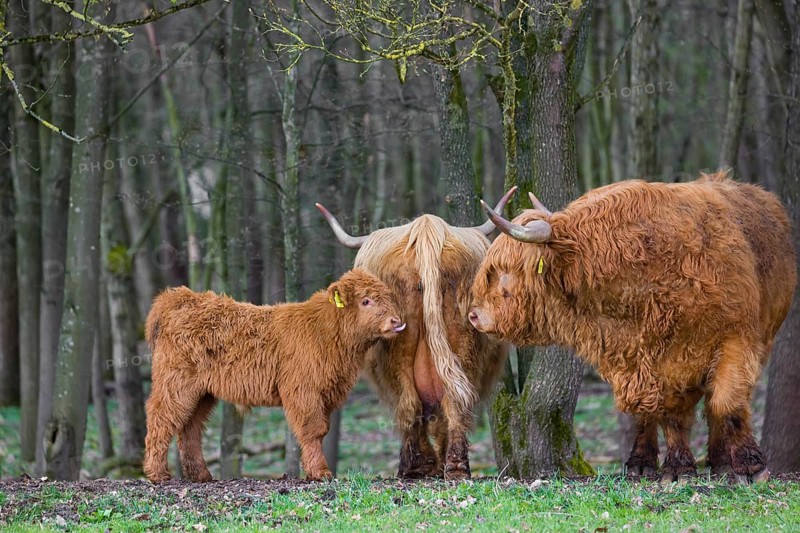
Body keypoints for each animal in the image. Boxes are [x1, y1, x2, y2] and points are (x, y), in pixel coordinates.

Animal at [142, 268, 406, 483]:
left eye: (388, 297)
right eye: (366, 301)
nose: (396, 321)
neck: (327, 334)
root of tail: (181, 297)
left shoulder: (326, 394)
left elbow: (322, 430)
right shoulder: (304, 391)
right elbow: (313, 430)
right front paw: (320, 472)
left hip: (201, 393)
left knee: (190, 428)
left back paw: (200, 475)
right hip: (175, 383)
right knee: (160, 417)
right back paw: (157, 474)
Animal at [316, 191, 516, 480]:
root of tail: (426, 230)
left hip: (396, 346)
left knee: (410, 402)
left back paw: (415, 467)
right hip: (460, 341)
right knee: (452, 400)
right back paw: (454, 466)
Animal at [469, 172, 796, 483]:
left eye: (505, 272)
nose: (473, 315)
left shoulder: (736, 340)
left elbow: (728, 402)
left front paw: (750, 466)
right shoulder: (647, 361)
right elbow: (671, 414)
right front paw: (678, 468)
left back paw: (721, 462)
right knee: (647, 413)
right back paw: (641, 464)